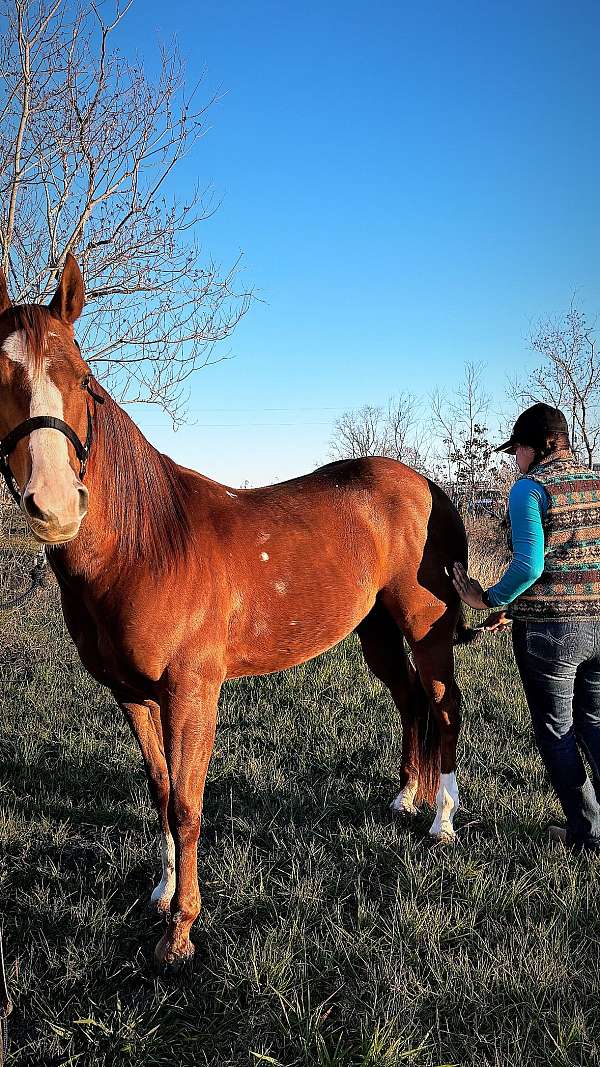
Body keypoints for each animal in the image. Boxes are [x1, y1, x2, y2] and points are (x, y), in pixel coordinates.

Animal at [0, 256, 474, 968]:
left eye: (82, 377)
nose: (53, 504)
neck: (148, 545)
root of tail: (426, 486)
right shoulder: (131, 695)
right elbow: (160, 791)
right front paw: (162, 892)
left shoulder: (192, 693)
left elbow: (188, 803)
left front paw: (181, 933)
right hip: (377, 635)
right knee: (412, 702)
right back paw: (405, 800)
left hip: (426, 628)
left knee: (443, 706)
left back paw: (442, 819)